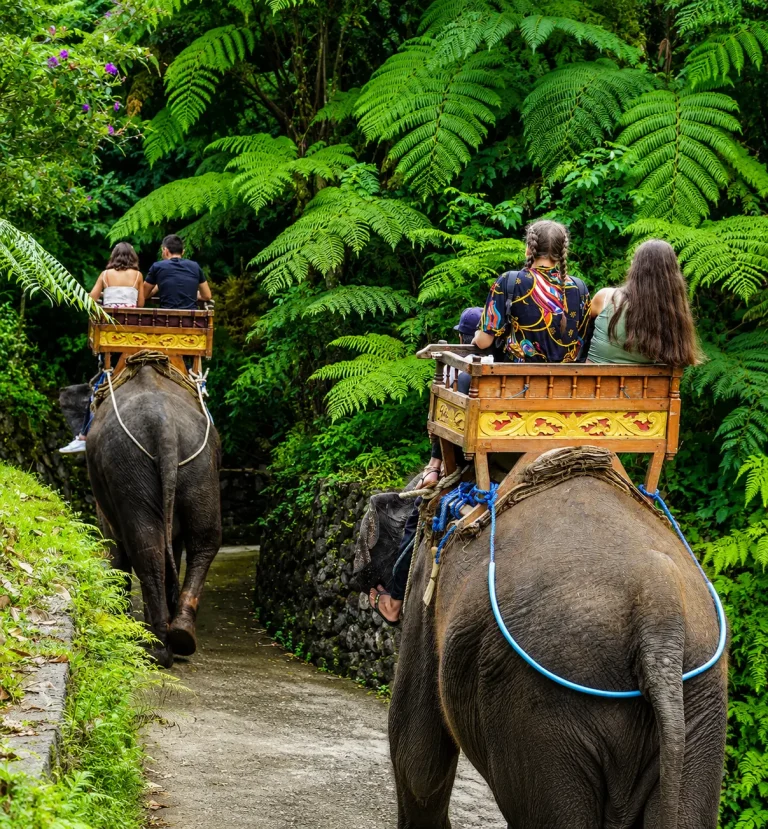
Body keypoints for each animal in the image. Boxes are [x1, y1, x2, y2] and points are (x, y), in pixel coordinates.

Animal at [60, 360, 221, 667]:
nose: (61, 392)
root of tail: (164, 426)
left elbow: (113, 540)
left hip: (128, 463)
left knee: (146, 547)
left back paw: (157, 650)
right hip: (199, 462)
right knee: (203, 541)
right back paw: (180, 635)